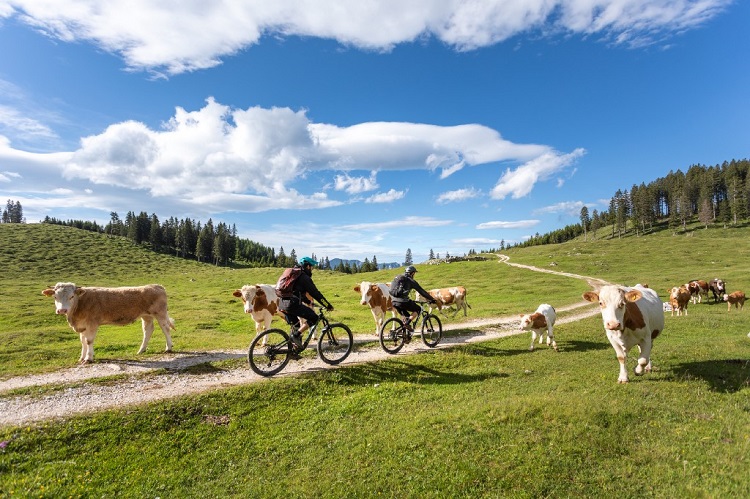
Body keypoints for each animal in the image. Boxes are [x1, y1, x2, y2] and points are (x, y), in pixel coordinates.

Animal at [43, 286, 178, 364]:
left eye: (71, 296)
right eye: (55, 297)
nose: (62, 310)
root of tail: (155, 286)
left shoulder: (92, 324)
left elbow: (89, 341)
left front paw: (88, 358)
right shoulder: (82, 325)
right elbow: (83, 341)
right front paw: (81, 357)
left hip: (160, 313)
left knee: (165, 328)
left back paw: (168, 347)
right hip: (146, 316)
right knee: (148, 330)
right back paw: (141, 350)